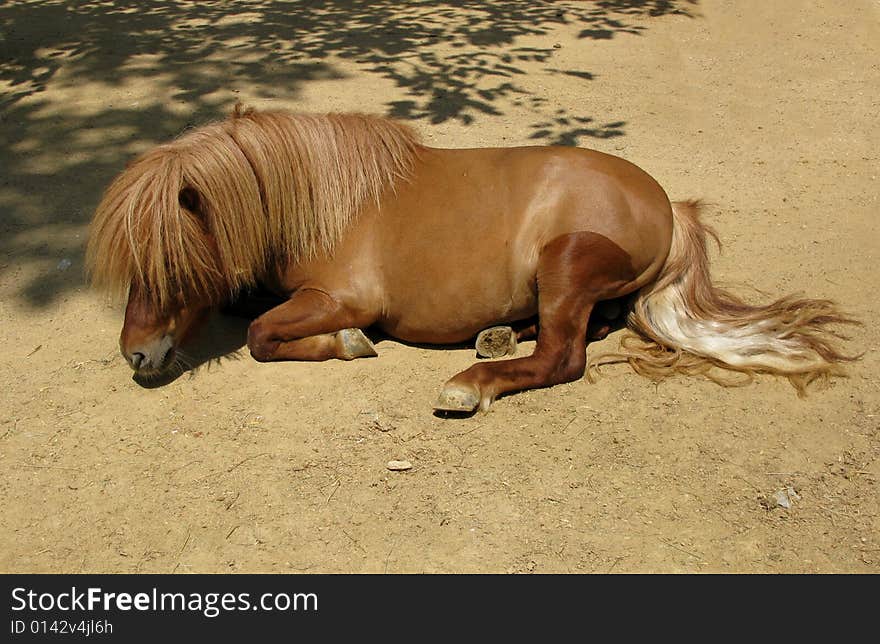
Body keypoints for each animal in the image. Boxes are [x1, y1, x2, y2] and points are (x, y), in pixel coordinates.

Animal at [86, 105, 856, 412]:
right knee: (592, 326)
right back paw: (497, 335)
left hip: (565, 264)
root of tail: (670, 208)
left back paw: (469, 383)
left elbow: (260, 334)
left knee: (564, 356)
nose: (137, 356)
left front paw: (347, 345)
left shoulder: (340, 297)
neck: (323, 200)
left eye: (167, 267)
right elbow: (247, 309)